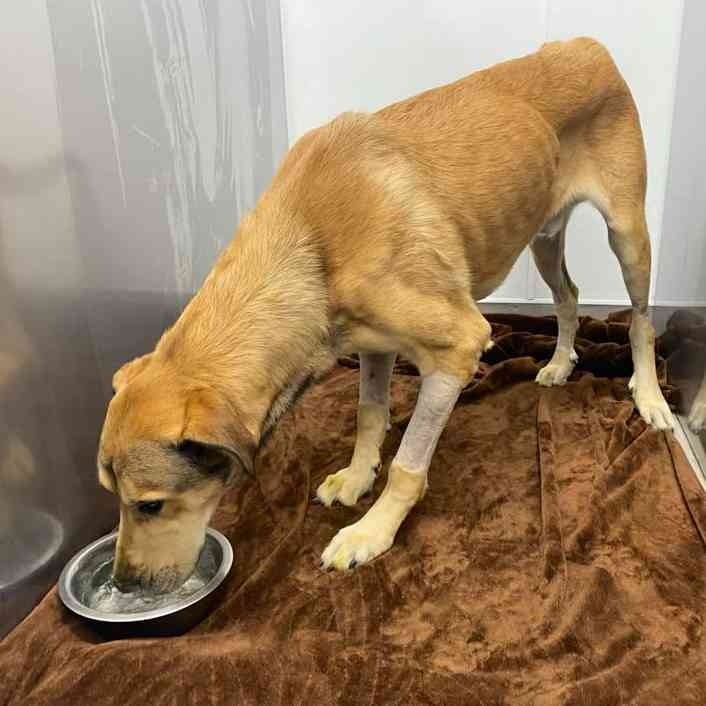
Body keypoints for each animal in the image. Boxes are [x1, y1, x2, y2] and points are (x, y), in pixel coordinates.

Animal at [97, 35, 672, 584]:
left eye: (149, 505)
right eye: (111, 497)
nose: (124, 584)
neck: (311, 245)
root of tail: (584, 46)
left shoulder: (458, 348)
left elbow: (408, 465)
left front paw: (371, 531)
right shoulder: (371, 344)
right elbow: (369, 415)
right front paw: (357, 477)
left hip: (627, 234)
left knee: (640, 323)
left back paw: (649, 397)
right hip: (543, 239)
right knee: (568, 296)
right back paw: (558, 363)